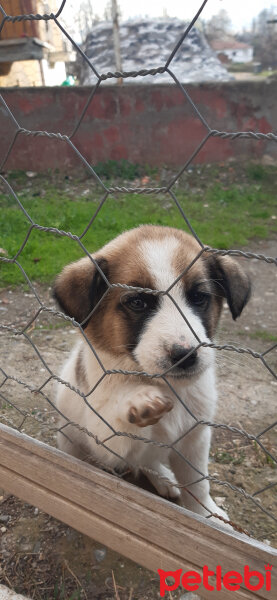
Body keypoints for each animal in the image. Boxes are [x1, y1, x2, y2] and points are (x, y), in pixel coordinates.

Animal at [52, 225, 249, 524]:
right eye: (137, 302)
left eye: (199, 298)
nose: (186, 355)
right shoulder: (105, 440)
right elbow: (119, 417)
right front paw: (138, 399)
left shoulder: (195, 439)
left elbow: (198, 485)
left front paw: (208, 514)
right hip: (71, 439)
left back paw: (164, 479)